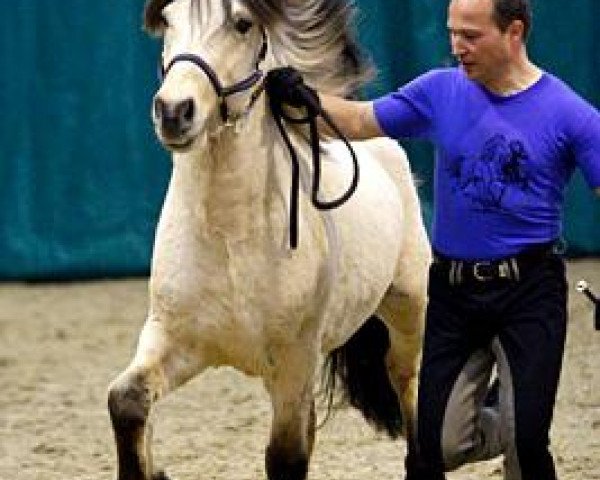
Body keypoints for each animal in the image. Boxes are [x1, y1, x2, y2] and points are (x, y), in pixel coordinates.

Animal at [108, 0, 428, 480]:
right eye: (167, 20)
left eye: (241, 23)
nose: (173, 111)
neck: (230, 238)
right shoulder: (173, 338)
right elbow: (126, 401)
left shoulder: (295, 359)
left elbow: (286, 457)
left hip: (407, 308)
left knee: (407, 381)